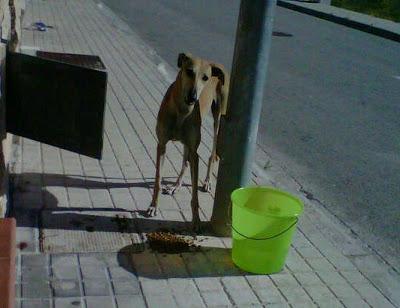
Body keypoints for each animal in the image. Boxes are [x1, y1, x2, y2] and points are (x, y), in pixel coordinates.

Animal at [147, 53, 230, 231]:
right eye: (189, 71)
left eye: (205, 78)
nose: (193, 98)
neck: (182, 110)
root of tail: (216, 64)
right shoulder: (161, 145)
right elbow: (158, 180)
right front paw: (153, 206)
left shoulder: (195, 152)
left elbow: (195, 194)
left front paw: (197, 220)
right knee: (185, 162)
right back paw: (176, 185)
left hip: (218, 119)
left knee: (211, 154)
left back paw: (207, 182)